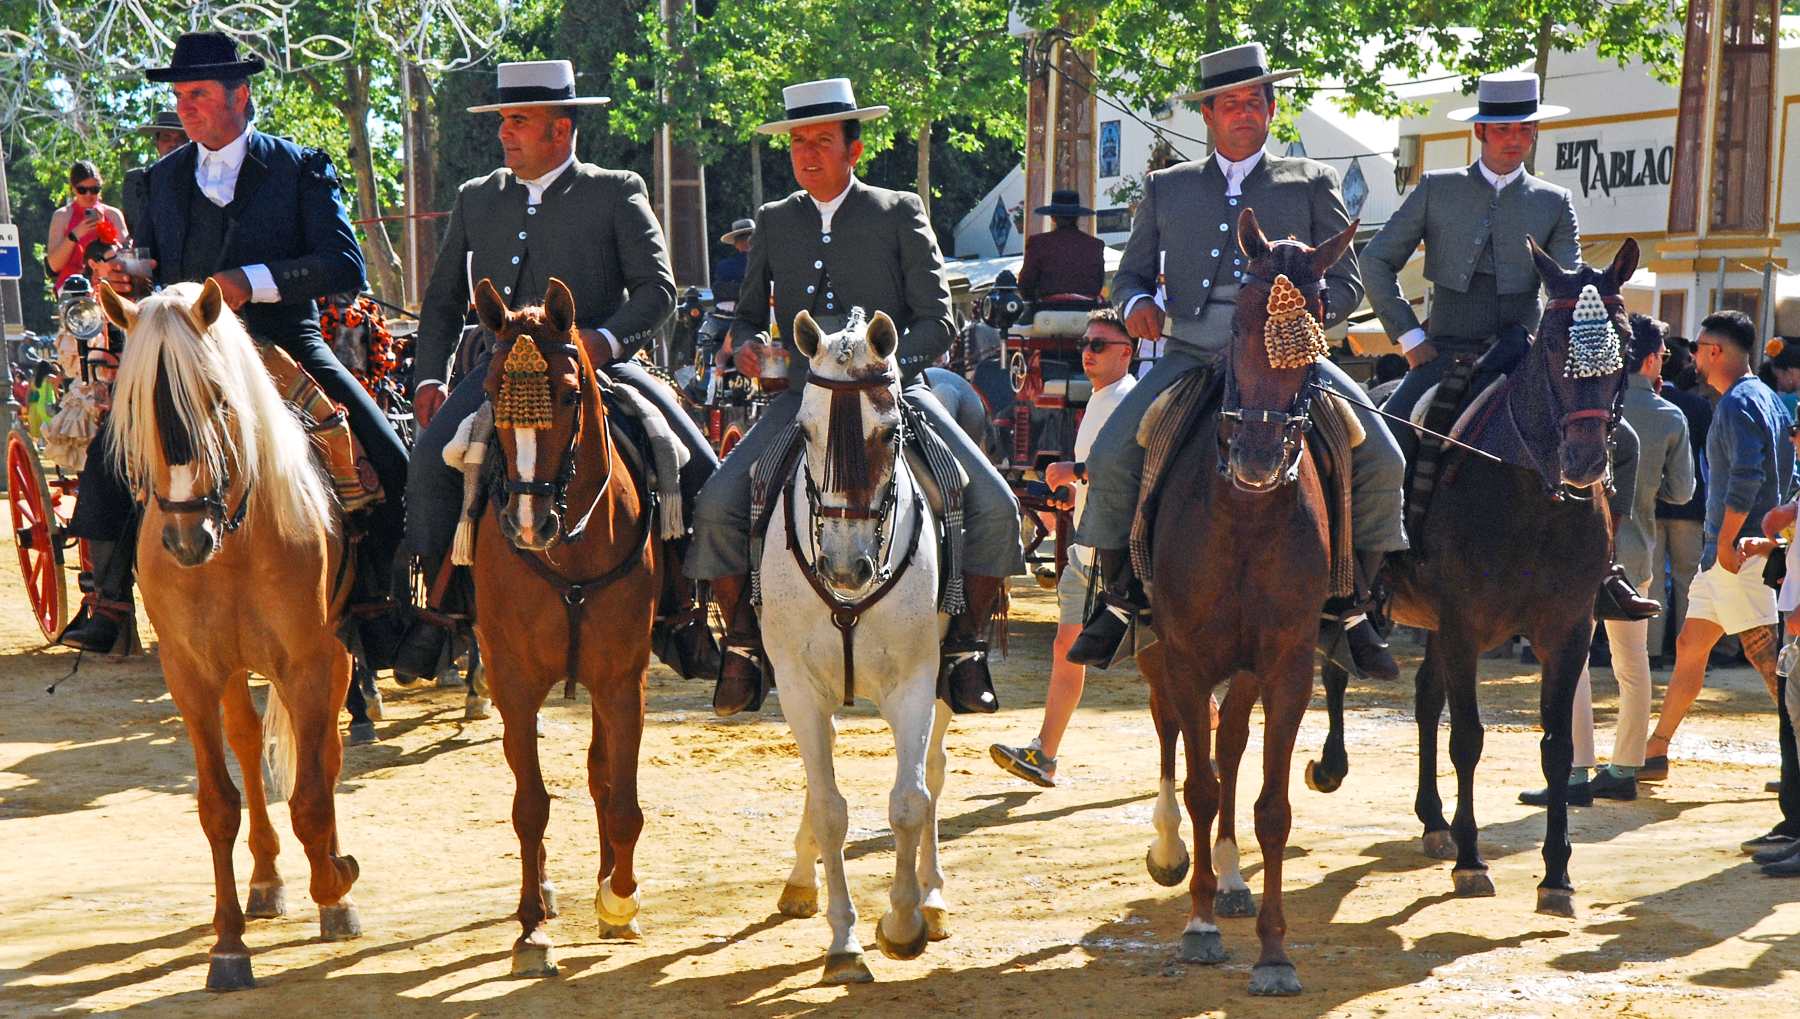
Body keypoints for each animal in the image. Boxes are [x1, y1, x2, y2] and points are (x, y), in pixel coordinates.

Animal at [95, 279, 361, 993]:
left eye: (216, 399)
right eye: (136, 405)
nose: (188, 539)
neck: (236, 541)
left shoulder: (307, 660)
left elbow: (311, 795)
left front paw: (336, 887)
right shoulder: (189, 674)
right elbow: (218, 804)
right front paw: (229, 946)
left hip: (333, 655)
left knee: (325, 754)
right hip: (236, 668)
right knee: (246, 738)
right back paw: (266, 881)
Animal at [464, 275, 662, 979]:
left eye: (572, 392)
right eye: (491, 389)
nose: (528, 523)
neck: (569, 552)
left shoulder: (621, 679)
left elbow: (620, 794)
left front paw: (620, 900)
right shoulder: (513, 683)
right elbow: (530, 805)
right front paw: (530, 929)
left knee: (602, 775)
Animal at [759, 311, 957, 993]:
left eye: (890, 430)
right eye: (805, 429)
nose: (845, 569)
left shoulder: (917, 684)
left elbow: (909, 803)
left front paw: (902, 924)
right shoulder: (797, 687)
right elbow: (829, 810)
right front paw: (843, 943)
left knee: (934, 773)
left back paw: (934, 899)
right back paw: (799, 881)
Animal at [1137, 206, 1353, 1000]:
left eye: (1315, 332)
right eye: (1235, 324)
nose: (1259, 458)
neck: (1245, 516)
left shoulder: (1285, 663)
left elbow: (1270, 805)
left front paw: (1273, 952)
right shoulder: (1185, 651)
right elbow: (1200, 782)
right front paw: (1198, 926)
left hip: (1249, 667)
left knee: (1229, 741)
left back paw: (1230, 878)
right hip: (1156, 647)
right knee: (1172, 727)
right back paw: (1172, 850)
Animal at [1310, 237, 1648, 918]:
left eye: (1625, 345)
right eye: (1554, 345)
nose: (1584, 461)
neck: (1532, 492)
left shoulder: (1568, 629)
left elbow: (1556, 747)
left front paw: (1556, 875)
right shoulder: (1465, 625)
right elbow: (1466, 737)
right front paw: (1471, 862)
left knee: (1422, 699)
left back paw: (1433, 820)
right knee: (1336, 669)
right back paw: (1332, 767)